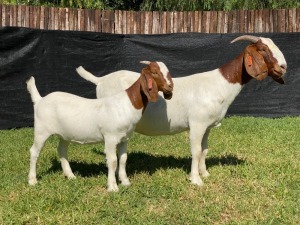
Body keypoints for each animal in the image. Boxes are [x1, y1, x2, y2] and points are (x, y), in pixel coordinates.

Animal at [27, 61, 175, 192]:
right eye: (155, 72)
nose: (170, 87)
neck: (127, 103)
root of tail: (39, 100)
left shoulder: (124, 138)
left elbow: (123, 159)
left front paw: (125, 182)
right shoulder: (110, 137)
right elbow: (113, 161)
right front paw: (113, 187)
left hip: (65, 134)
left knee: (62, 150)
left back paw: (70, 176)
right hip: (41, 130)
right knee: (34, 151)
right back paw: (32, 180)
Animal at [76, 35, 288, 186]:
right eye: (263, 49)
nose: (284, 66)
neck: (219, 84)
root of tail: (100, 80)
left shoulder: (207, 126)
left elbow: (204, 150)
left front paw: (205, 173)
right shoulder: (197, 124)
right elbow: (195, 150)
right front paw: (196, 180)